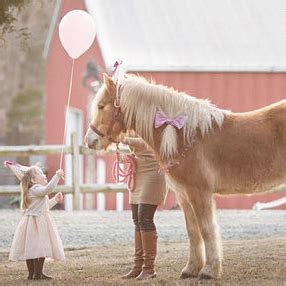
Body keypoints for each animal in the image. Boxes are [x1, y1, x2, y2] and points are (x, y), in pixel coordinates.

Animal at [84, 72, 284, 280]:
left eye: (101, 106)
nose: (90, 140)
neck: (183, 136)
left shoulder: (200, 193)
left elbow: (207, 229)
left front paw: (209, 270)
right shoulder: (184, 195)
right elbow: (193, 231)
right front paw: (191, 269)